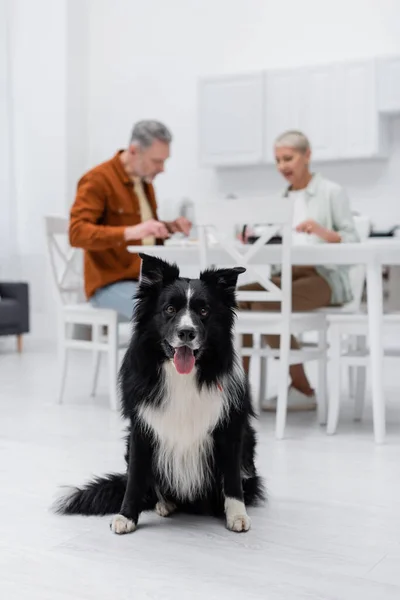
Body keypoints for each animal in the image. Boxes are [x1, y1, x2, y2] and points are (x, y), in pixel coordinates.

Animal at [55, 253, 262, 536]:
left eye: (204, 311)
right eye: (170, 309)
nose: (186, 333)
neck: (182, 376)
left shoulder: (230, 430)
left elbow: (231, 479)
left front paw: (237, 516)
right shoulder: (141, 430)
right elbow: (135, 478)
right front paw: (126, 516)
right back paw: (165, 503)